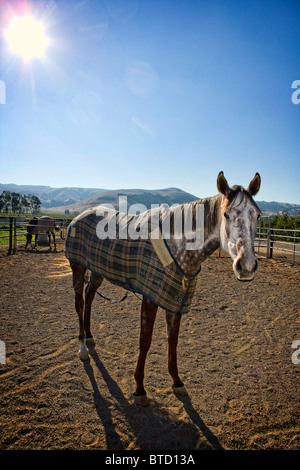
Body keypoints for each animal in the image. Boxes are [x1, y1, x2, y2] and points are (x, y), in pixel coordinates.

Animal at [65, 171, 260, 406]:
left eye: (258, 215)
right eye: (226, 215)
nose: (246, 265)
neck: (179, 248)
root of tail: (80, 216)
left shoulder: (175, 301)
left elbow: (172, 342)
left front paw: (177, 382)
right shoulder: (150, 299)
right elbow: (145, 342)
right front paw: (139, 388)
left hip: (97, 271)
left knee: (89, 297)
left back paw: (90, 336)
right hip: (78, 267)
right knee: (79, 303)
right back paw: (83, 347)